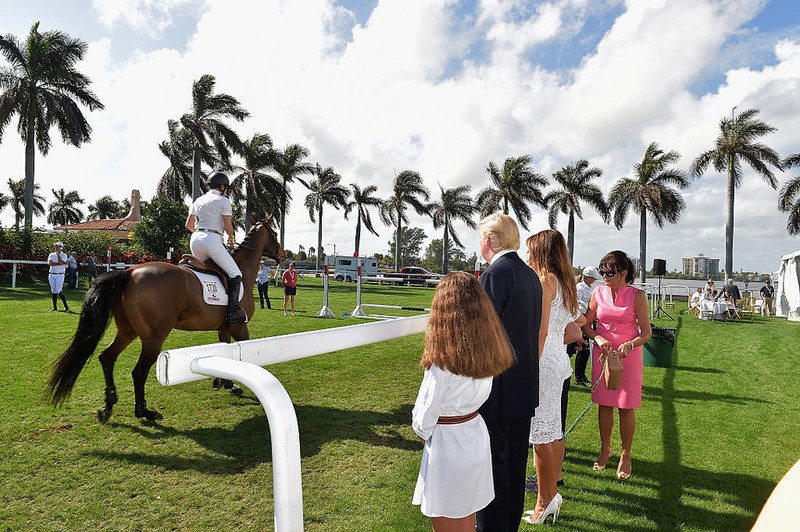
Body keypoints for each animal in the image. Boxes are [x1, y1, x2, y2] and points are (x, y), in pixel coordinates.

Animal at [46, 218, 284, 422]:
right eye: (274, 233)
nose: (282, 254)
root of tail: (129, 273)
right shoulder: (239, 327)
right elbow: (243, 354)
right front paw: (233, 384)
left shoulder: (224, 328)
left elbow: (226, 352)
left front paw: (225, 382)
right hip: (154, 338)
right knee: (138, 372)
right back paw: (144, 411)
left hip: (127, 331)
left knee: (107, 358)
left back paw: (108, 405)